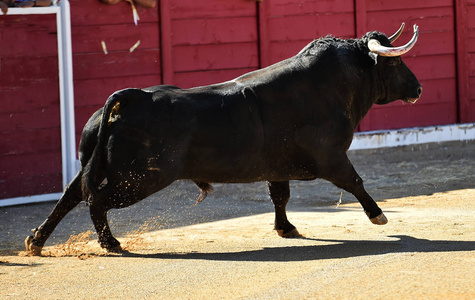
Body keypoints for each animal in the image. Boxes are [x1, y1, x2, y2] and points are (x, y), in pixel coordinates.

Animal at [26, 25, 422, 254]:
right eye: (394, 63)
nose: (417, 88)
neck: (332, 84)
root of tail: (131, 98)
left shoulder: (277, 167)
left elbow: (280, 196)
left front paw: (286, 228)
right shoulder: (332, 157)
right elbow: (355, 181)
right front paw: (379, 216)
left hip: (99, 167)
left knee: (71, 195)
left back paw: (36, 241)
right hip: (139, 179)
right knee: (96, 201)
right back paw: (111, 244)